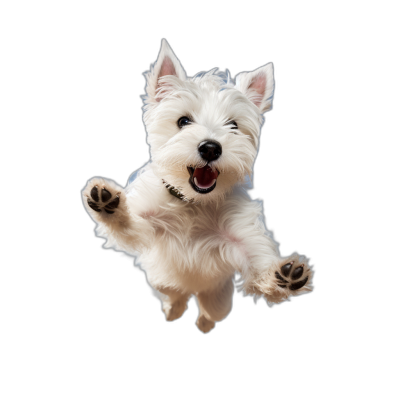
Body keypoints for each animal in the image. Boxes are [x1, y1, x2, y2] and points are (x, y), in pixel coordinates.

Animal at [82, 39, 312, 332]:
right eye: (183, 121)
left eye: (233, 125)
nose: (211, 148)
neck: (192, 203)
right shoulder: (150, 231)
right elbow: (128, 224)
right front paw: (107, 204)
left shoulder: (238, 237)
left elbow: (256, 258)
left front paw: (283, 277)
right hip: (161, 281)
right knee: (175, 296)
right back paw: (172, 310)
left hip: (218, 300)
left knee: (209, 312)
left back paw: (203, 323)